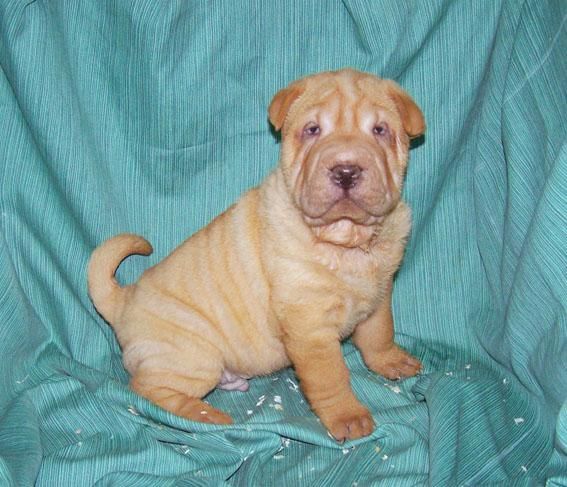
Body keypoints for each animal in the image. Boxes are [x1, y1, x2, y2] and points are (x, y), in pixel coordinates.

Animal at [87, 68, 426, 442]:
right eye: (313, 130)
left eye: (380, 130)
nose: (346, 171)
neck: (346, 242)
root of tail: (123, 301)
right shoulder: (309, 327)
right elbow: (331, 376)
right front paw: (348, 417)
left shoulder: (380, 293)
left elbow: (380, 332)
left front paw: (391, 362)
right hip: (194, 355)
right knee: (147, 388)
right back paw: (206, 415)